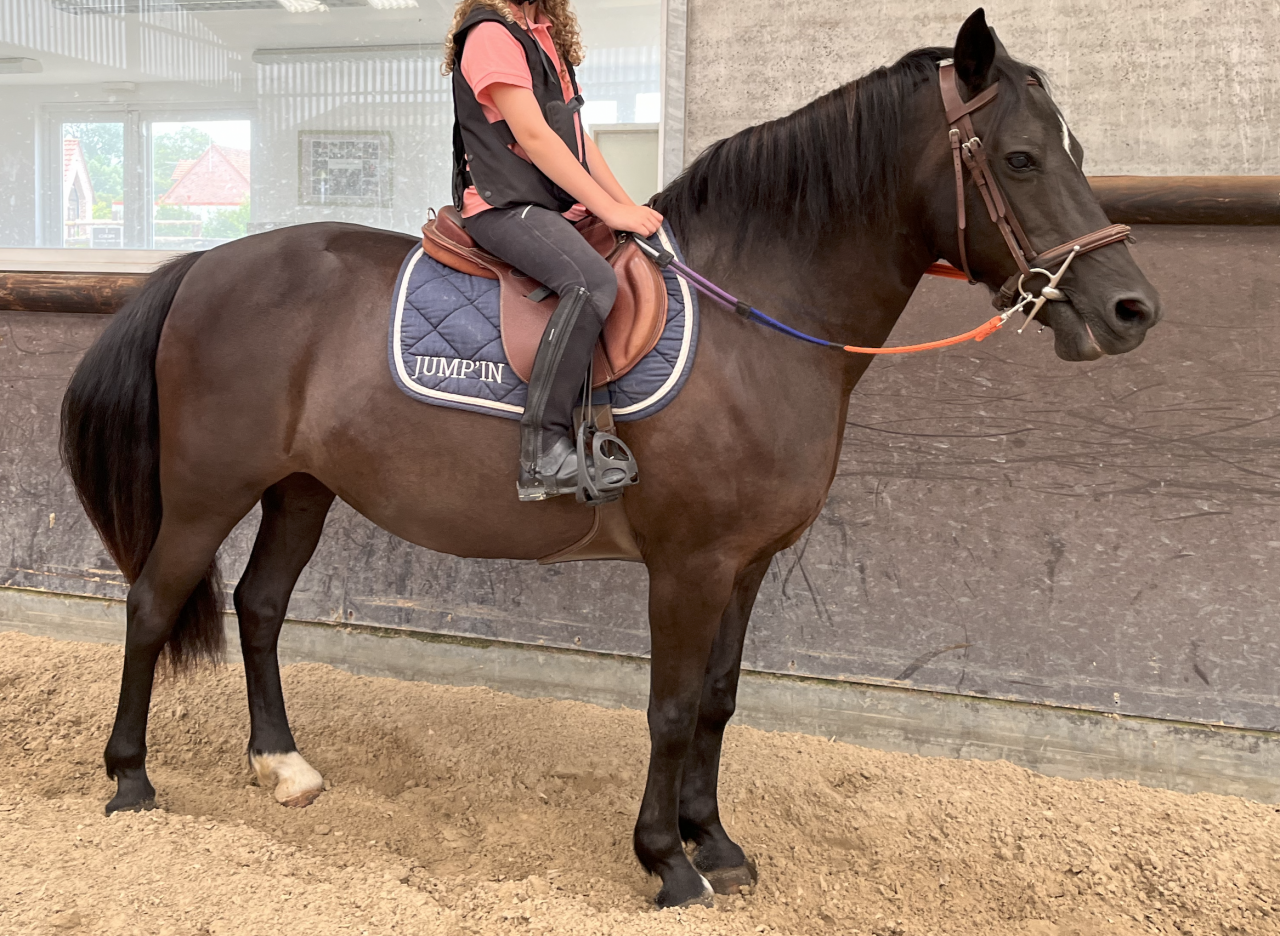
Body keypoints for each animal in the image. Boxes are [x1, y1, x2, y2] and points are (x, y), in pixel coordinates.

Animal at [60, 9, 1159, 909]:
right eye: (1020, 159)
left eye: (1070, 149)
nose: (1130, 310)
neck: (756, 322)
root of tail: (205, 264)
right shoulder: (689, 564)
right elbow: (669, 706)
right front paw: (666, 861)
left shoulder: (747, 564)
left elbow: (717, 700)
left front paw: (716, 843)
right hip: (207, 491)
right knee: (152, 606)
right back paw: (129, 779)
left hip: (300, 489)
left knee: (259, 607)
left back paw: (279, 764)